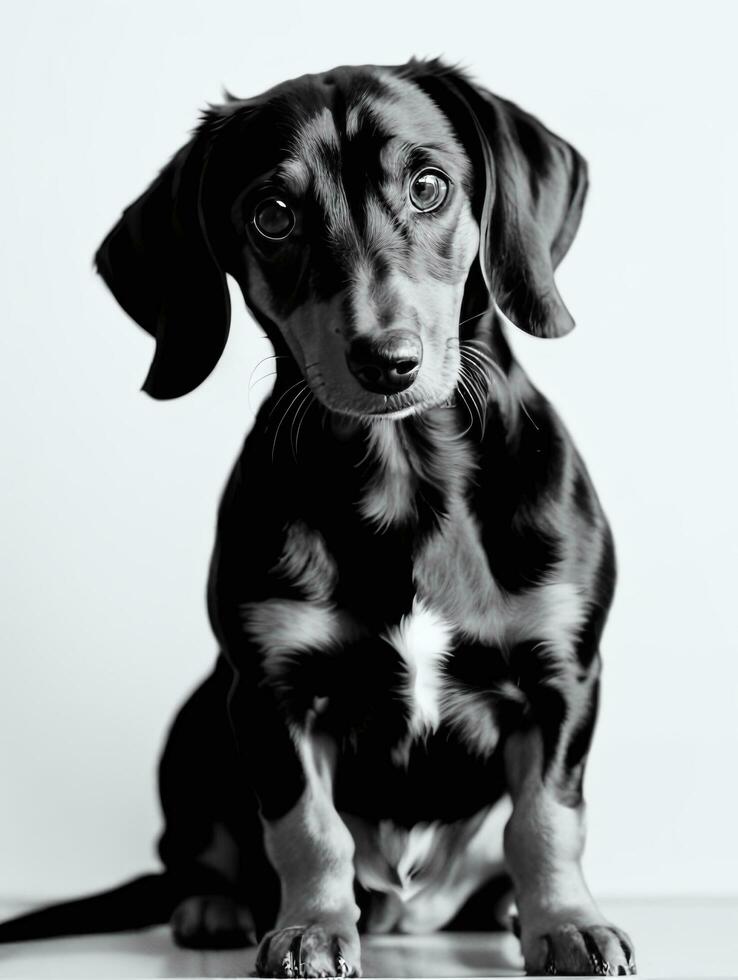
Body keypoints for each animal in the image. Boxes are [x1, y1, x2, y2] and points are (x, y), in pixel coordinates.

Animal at [0, 57, 632, 976]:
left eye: (430, 186)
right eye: (273, 214)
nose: (387, 362)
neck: (406, 475)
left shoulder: (563, 677)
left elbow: (546, 820)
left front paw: (566, 923)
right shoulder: (271, 690)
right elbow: (307, 829)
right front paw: (311, 929)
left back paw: (508, 909)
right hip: (199, 716)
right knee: (197, 853)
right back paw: (214, 908)